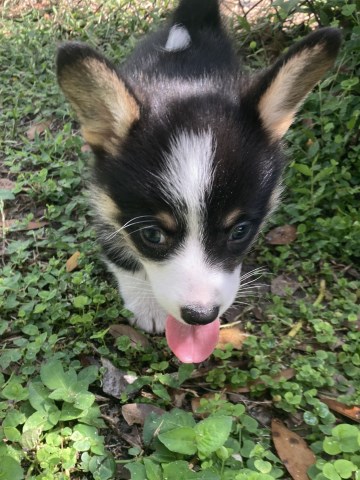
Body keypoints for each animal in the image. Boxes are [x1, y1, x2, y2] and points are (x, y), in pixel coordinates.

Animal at [57, 0, 340, 360]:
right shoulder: (103, 200)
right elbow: (120, 254)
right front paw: (146, 304)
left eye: (240, 231)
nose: (200, 316)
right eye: (152, 235)